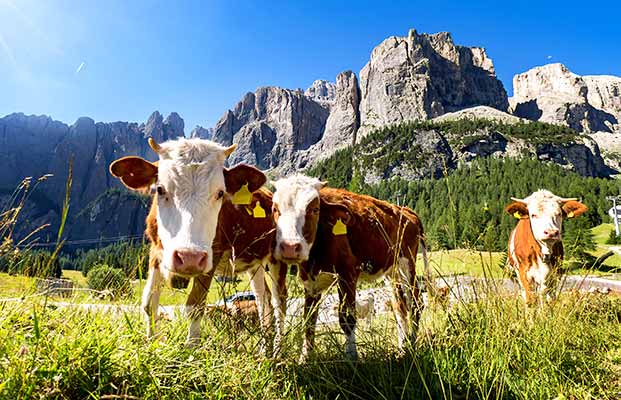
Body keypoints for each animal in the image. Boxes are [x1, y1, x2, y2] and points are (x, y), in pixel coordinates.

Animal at [108, 138, 286, 354]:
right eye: (160, 189)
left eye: (220, 193)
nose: (189, 258)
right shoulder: (156, 251)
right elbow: (149, 302)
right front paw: (152, 344)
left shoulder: (211, 256)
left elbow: (195, 305)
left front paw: (191, 350)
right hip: (254, 263)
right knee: (262, 298)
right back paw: (263, 350)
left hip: (278, 257)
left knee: (279, 301)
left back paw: (277, 351)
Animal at [272, 175, 426, 360]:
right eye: (275, 209)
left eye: (315, 209)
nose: (290, 247)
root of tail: (406, 211)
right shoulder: (310, 282)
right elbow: (308, 320)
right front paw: (306, 358)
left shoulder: (347, 274)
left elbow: (347, 317)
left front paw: (352, 357)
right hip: (392, 272)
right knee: (399, 306)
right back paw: (402, 348)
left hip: (407, 265)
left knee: (415, 304)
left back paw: (413, 344)